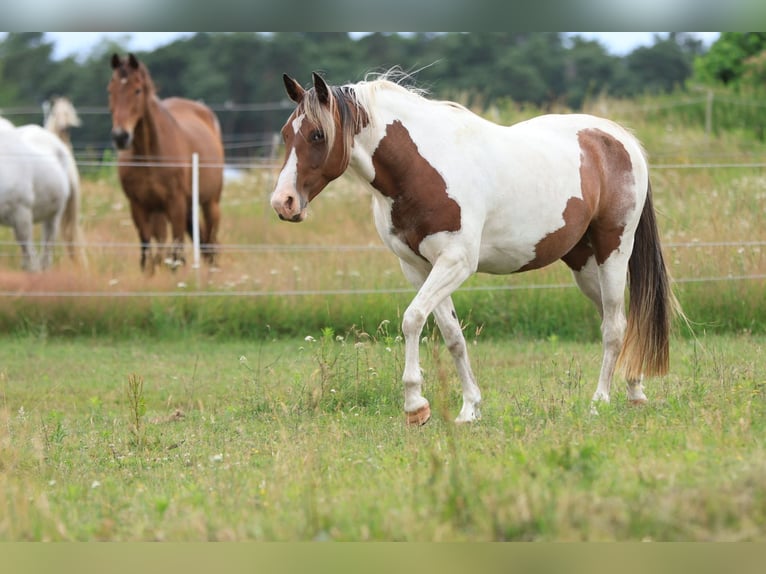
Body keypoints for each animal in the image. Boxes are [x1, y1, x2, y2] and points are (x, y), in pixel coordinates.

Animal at [108, 53, 225, 273]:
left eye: (137, 90)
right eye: (110, 90)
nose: (120, 136)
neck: (148, 156)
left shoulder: (175, 202)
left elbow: (177, 248)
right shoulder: (139, 205)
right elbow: (147, 248)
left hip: (210, 202)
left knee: (211, 236)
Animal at [270, 72, 682, 425]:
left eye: (318, 135)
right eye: (287, 134)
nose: (283, 203)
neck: (421, 167)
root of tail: (618, 138)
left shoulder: (455, 263)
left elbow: (412, 319)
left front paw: (415, 405)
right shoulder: (419, 268)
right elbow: (453, 337)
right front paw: (470, 408)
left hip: (614, 251)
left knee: (613, 326)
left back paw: (600, 401)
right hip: (584, 264)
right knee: (621, 322)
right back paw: (634, 390)